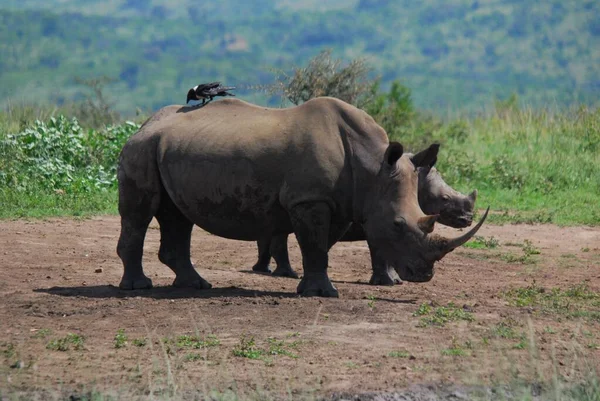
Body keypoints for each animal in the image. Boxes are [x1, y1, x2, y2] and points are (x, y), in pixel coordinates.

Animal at [117, 97, 488, 296]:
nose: (425, 275)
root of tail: (143, 125)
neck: (372, 168)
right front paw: (323, 293)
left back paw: (195, 285)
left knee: (177, 216)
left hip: (169, 149)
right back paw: (139, 287)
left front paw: (311, 288)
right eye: (398, 225)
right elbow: (314, 244)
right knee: (141, 212)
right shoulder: (309, 199)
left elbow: (320, 246)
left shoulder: (339, 203)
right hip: (140, 149)